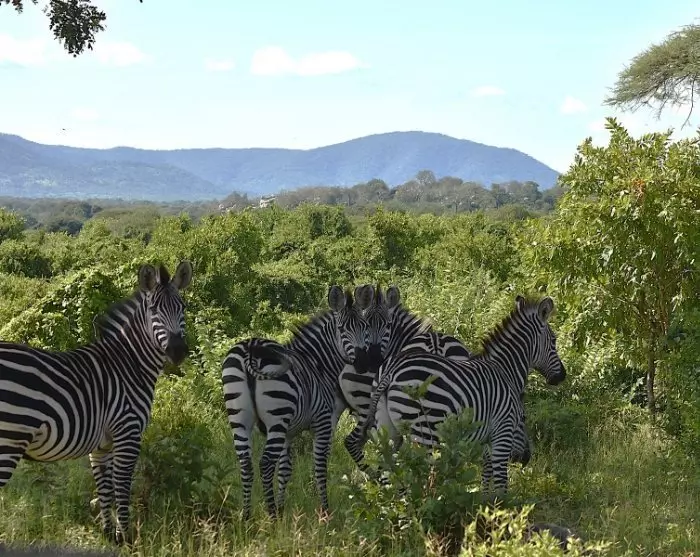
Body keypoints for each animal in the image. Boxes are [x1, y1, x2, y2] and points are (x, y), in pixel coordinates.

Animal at [0, 261, 193, 545]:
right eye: (154, 310)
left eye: (183, 308)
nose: (178, 351)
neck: (129, 364)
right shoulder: (128, 432)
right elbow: (122, 486)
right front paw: (128, 539)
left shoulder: (102, 444)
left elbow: (105, 488)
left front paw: (110, 536)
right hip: (9, 440)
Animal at [221, 285, 371, 520]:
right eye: (342, 329)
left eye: (364, 327)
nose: (364, 362)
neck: (318, 364)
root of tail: (250, 347)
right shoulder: (322, 422)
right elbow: (319, 465)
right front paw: (325, 512)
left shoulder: (288, 433)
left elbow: (285, 469)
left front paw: (283, 509)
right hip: (276, 415)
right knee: (265, 463)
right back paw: (271, 516)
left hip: (240, 418)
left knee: (246, 464)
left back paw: (247, 516)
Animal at [357, 295, 565, 494]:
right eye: (554, 341)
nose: (562, 376)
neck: (505, 370)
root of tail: (391, 370)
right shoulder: (502, 430)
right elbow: (500, 481)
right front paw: (498, 505)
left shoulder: (485, 436)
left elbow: (486, 469)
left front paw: (483, 499)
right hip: (425, 432)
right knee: (420, 473)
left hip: (386, 427)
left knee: (389, 470)